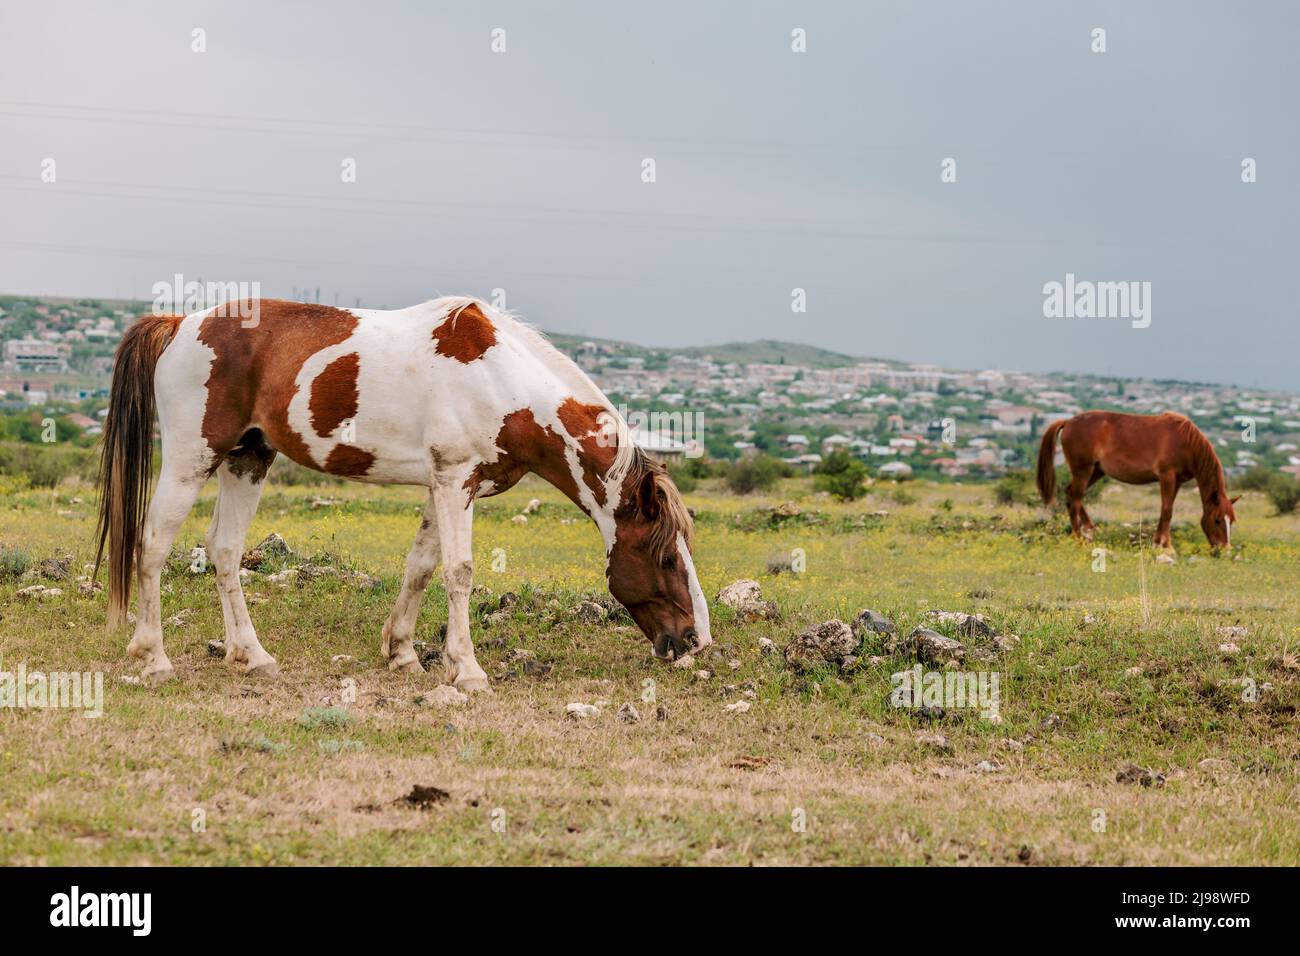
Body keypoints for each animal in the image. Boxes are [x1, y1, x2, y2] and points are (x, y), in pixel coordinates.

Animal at [94, 297, 712, 688]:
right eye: (664, 556)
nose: (693, 640)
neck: (500, 381)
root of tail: (178, 323)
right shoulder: (454, 480)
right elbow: (459, 572)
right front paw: (467, 670)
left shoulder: (450, 486)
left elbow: (421, 567)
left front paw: (403, 653)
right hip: (190, 460)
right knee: (153, 545)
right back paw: (153, 658)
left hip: (249, 459)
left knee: (223, 551)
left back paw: (252, 656)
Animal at [1036, 410, 1239, 550]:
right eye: (1217, 520)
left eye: (1231, 521)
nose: (1224, 549)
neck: (1185, 442)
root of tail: (1067, 422)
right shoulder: (1167, 477)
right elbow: (1167, 510)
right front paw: (1165, 545)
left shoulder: (1178, 481)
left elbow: (1167, 509)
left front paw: (1159, 541)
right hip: (1083, 471)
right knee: (1076, 499)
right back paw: (1080, 538)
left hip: (1096, 471)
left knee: (1071, 494)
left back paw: (1089, 529)